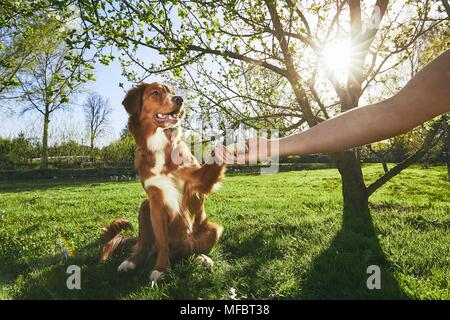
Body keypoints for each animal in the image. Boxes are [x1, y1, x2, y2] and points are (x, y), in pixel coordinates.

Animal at [99, 82, 224, 282]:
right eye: (155, 93)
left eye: (173, 93)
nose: (180, 100)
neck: (160, 146)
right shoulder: (156, 201)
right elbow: (162, 241)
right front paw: (161, 268)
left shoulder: (198, 183)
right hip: (145, 206)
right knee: (145, 247)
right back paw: (130, 262)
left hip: (213, 229)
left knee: (190, 249)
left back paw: (201, 258)